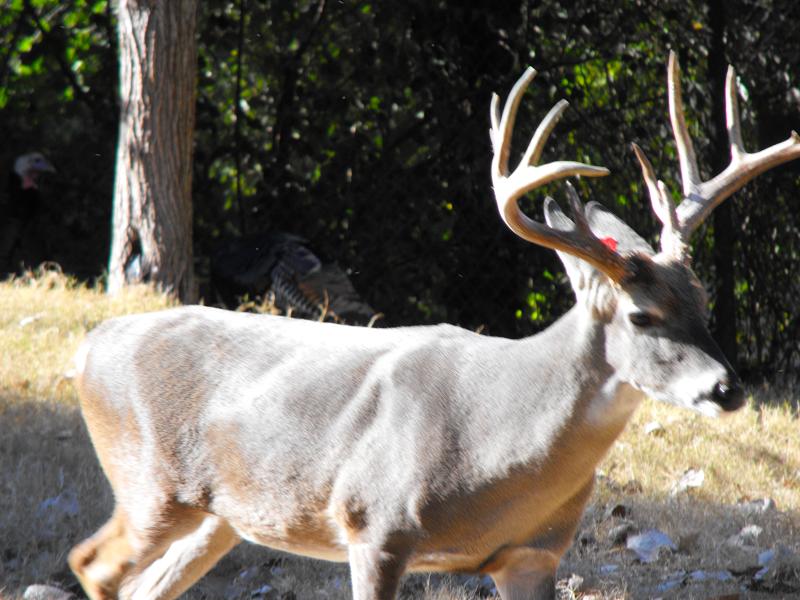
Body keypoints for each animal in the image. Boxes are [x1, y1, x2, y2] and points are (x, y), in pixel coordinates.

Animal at [68, 52, 800, 600]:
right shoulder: (374, 523)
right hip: (149, 484)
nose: (727, 389)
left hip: (220, 516)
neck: (498, 441)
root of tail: (94, 343)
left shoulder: (534, 553)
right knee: (92, 565)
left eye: (702, 299)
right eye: (641, 314)